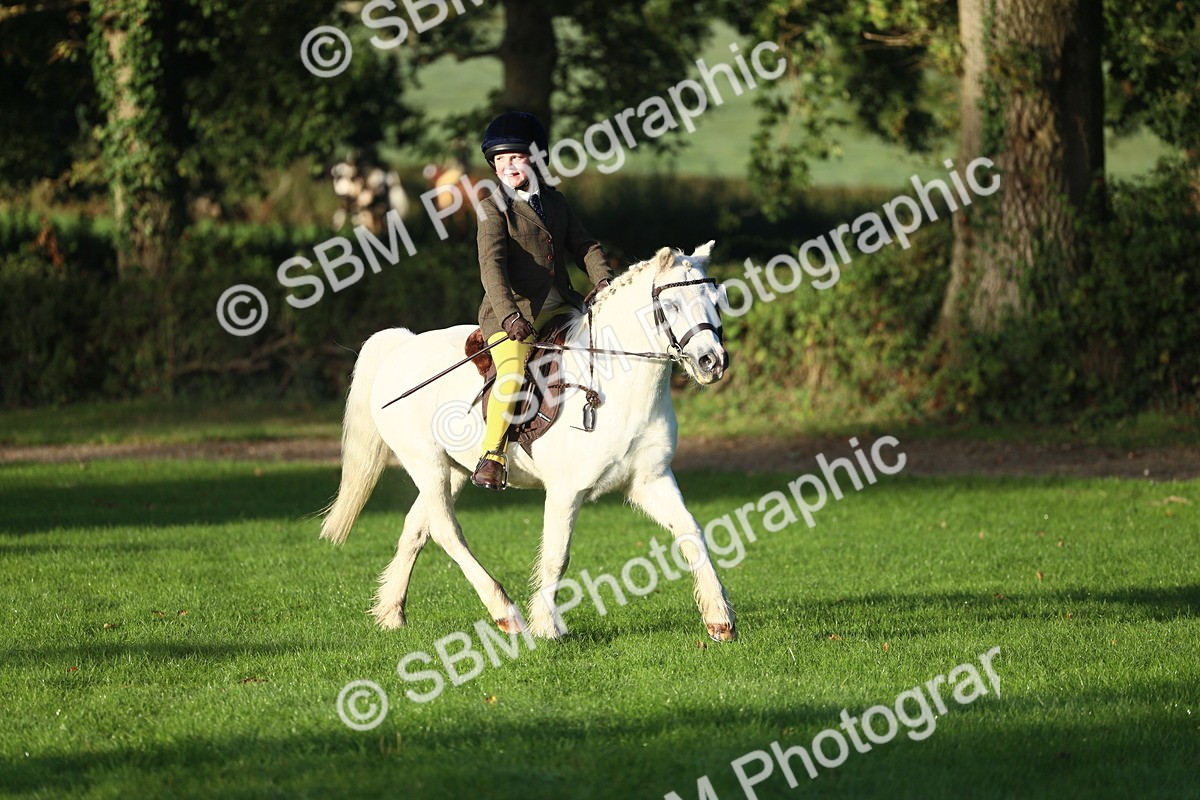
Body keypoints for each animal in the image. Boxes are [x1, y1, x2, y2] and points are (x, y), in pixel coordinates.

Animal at [319, 241, 737, 641]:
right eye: (671, 305)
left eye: (715, 300)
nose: (712, 362)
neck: (619, 384)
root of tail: (402, 346)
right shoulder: (567, 490)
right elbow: (557, 555)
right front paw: (547, 627)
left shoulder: (650, 480)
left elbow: (692, 532)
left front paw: (719, 619)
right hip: (426, 463)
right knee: (446, 531)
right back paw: (505, 612)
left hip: (455, 469)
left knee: (418, 528)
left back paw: (392, 613)